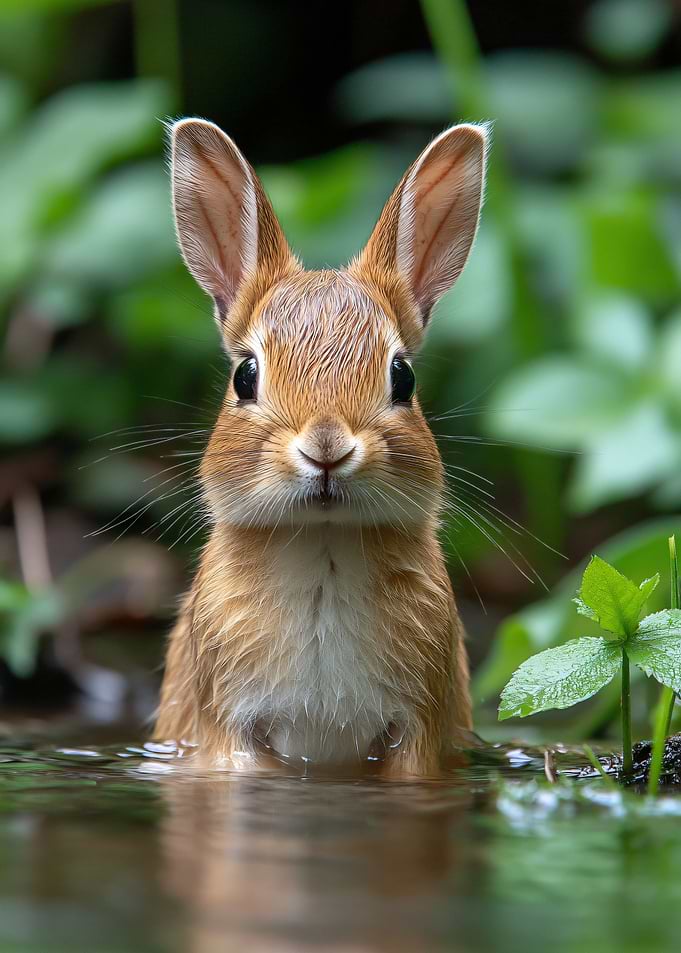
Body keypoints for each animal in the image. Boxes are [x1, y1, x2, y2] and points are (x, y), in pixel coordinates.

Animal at [154, 117, 489, 775]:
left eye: (403, 377)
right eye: (246, 377)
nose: (327, 447)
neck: (324, 545)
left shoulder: (415, 730)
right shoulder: (230, 728)